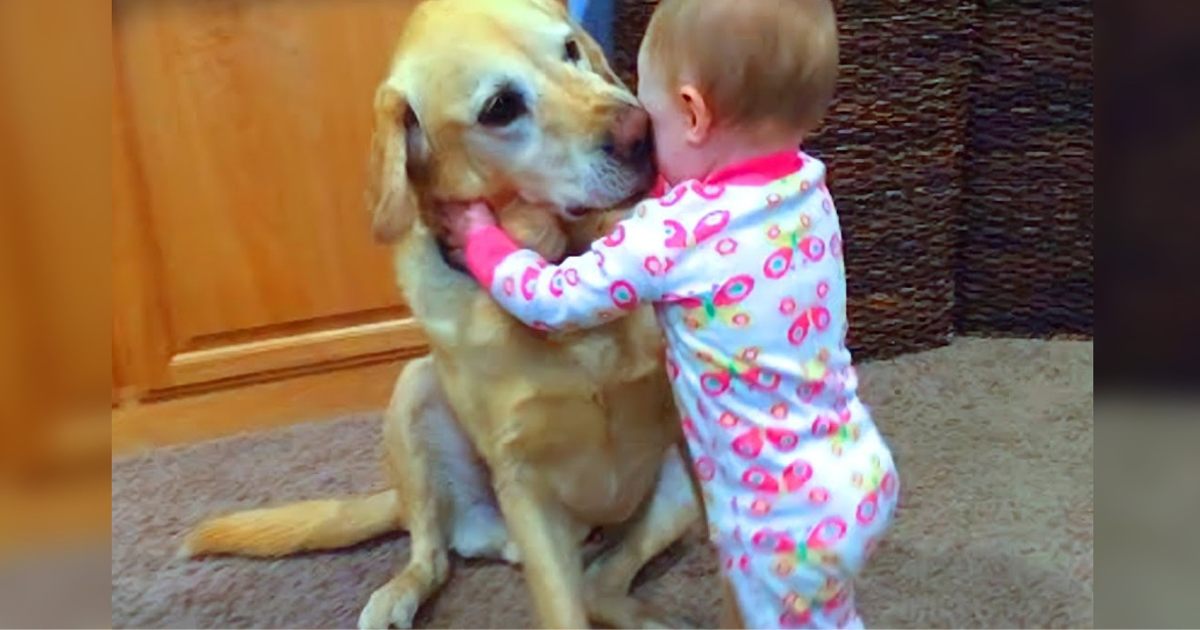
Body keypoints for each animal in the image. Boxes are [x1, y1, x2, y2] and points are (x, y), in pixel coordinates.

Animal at [178, 1, 700, 628]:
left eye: (571, 48)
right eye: (500, 108)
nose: (641, 132)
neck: (558, 260)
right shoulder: (523, 481)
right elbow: (559, 608)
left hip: (674, 497)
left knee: (599, 581)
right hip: (415, 394)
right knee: (435, 552)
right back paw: (396, 594)